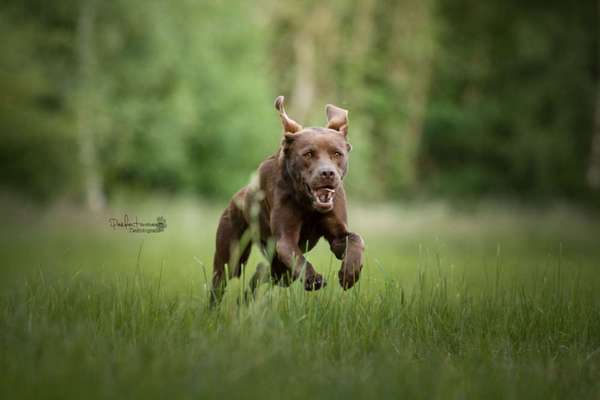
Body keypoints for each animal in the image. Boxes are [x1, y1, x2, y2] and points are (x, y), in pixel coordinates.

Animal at [211, 96, 366, 304]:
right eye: (308, 154)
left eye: (336, 154)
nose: (327, 173)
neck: (309, 204)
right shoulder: (285, 239)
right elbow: (296, 256)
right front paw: (312, 278)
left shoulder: (337, 235)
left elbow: (355, 239)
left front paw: (350, 273)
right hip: (232, 255)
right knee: (222, 281)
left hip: (278, 271)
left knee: (261, 273)